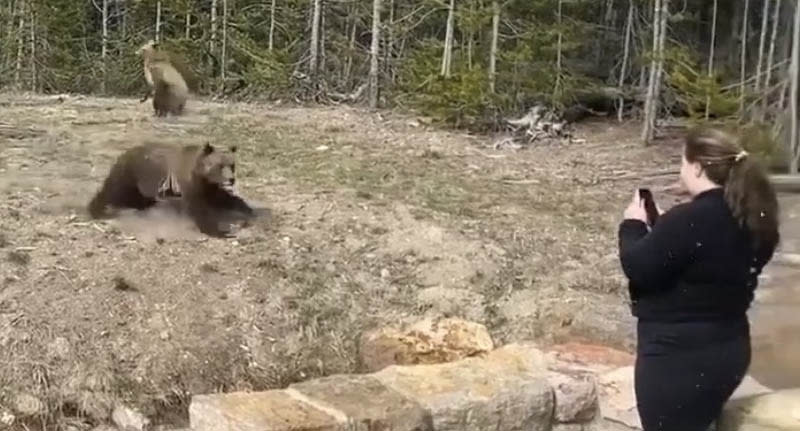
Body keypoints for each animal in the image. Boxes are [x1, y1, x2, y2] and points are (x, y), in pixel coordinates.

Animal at [86, 142, 253, 238]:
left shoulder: (210, 187)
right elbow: (197, 207)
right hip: (132, 174)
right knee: (113, 192)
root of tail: (124, 153)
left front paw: (247, 209)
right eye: (220, 165)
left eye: (232, 165)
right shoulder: (189, 183)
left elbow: (224, 198)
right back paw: (97, 209)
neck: (201, 174)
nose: (231, 179)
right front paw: (220, 231)